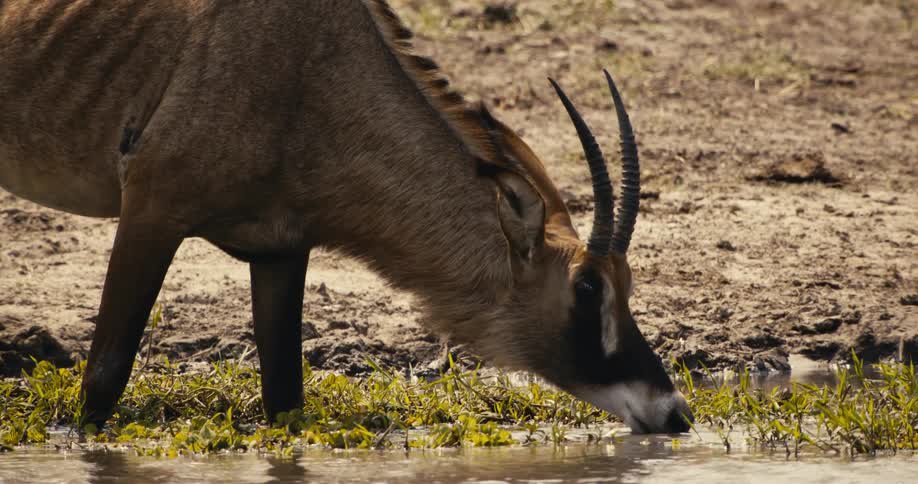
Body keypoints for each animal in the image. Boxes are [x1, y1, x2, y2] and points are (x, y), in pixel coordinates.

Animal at [0, 0, 693, 433]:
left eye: (627, 284)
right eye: (586, 288)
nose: (675, 413)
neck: (312, 72)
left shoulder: (281, 252)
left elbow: (285, 399)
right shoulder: (150, 212)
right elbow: (102, 382)